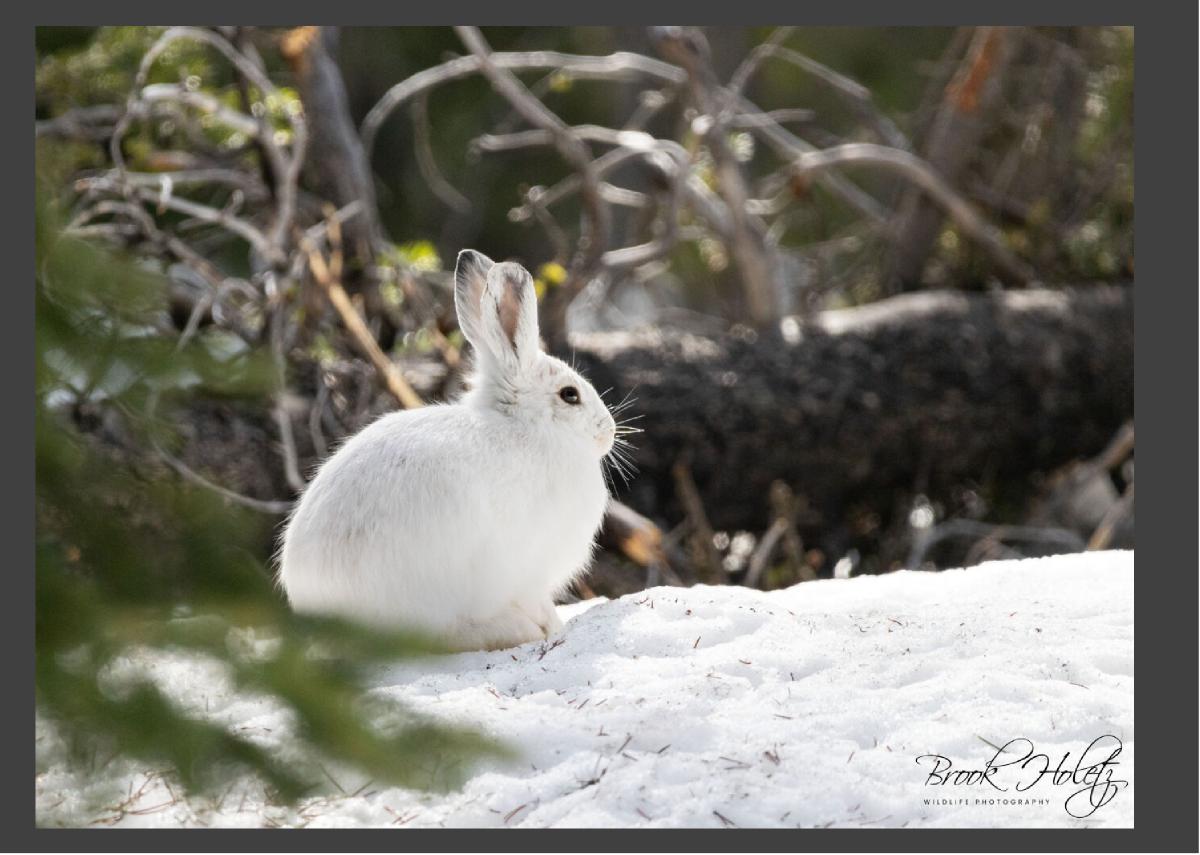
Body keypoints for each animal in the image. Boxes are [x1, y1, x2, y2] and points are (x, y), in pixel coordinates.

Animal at [277, 249, 617, 651]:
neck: (527, 428)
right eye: (570, 395)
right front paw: (553, 627)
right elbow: (538, 601)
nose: (608, 432)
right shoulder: (530, 568)